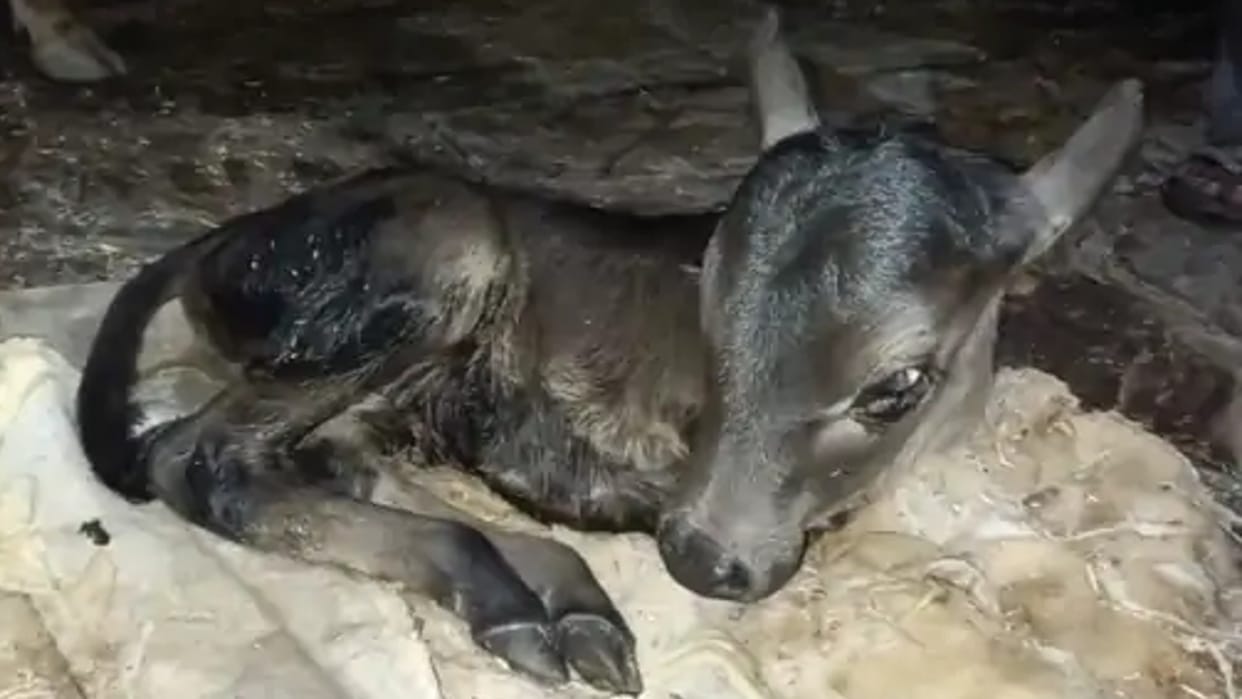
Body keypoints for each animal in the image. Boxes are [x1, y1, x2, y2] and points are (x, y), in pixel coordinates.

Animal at [72, 8, 1145, 695]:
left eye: (897, 383)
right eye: (710, 298)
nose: (702, 555)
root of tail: (216, 244)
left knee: (322, 463)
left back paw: (562, 601)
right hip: (443, 250)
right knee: (197, 455)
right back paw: (516, 603)